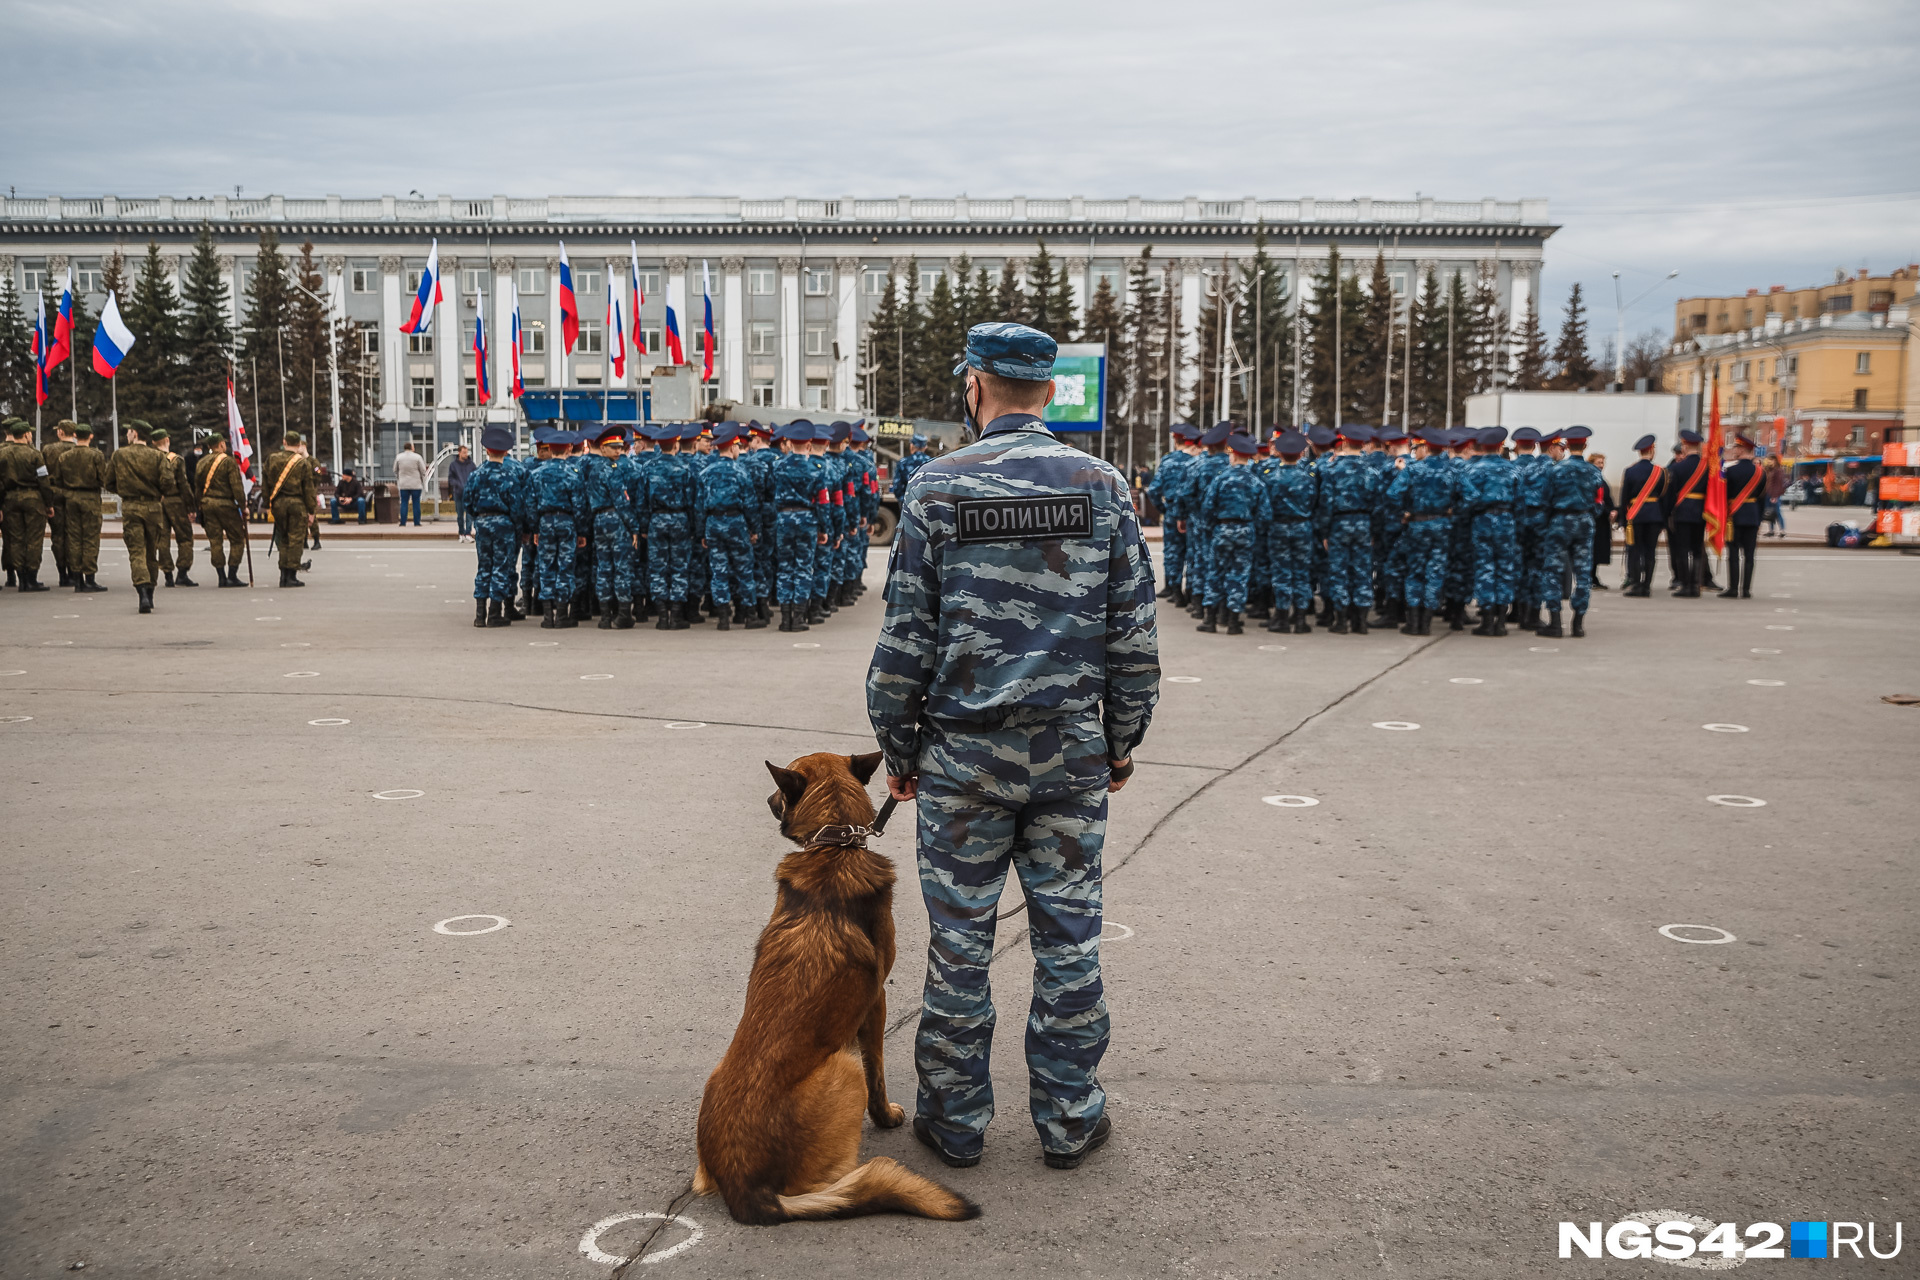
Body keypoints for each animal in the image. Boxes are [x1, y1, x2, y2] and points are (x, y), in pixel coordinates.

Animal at [695, 756, 983, 1228]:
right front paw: (886, 1118)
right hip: (844, 1067)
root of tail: (744, 1189)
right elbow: (878, 1071)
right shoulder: (877, 1001)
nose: (768, 800)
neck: (836, 847)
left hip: (715, 1075)